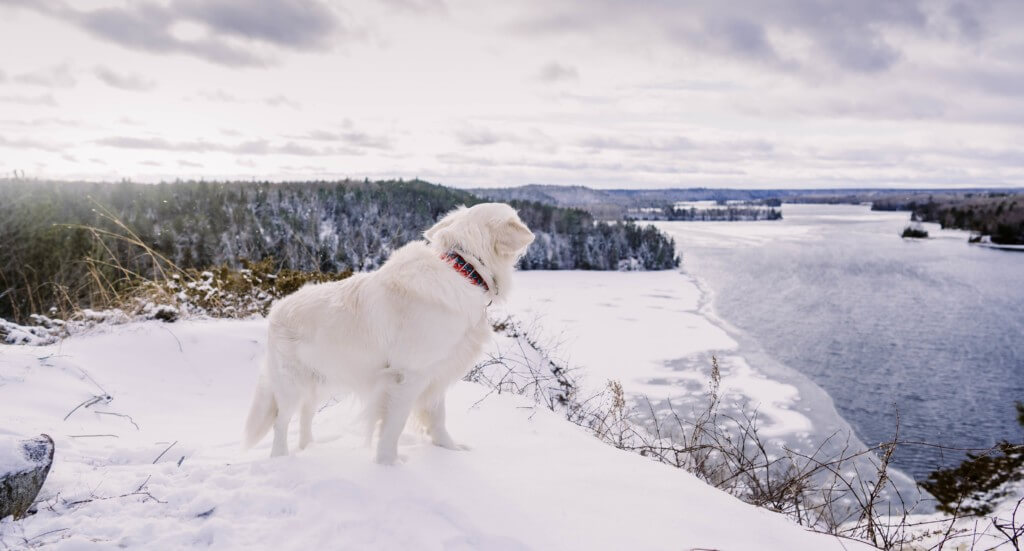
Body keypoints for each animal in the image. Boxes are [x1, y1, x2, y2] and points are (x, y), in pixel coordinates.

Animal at [240, 200, 536, 458]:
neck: (464, 268)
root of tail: (276, 311)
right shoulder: (408, 376)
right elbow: (393, 427)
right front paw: (388, 464)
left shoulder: (437, 371)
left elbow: (438, 418)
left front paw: (450, 451)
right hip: (291, 384)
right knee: (281, 421)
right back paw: (282, 457)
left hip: (323, 378)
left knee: (306, 414)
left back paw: (308, 448)